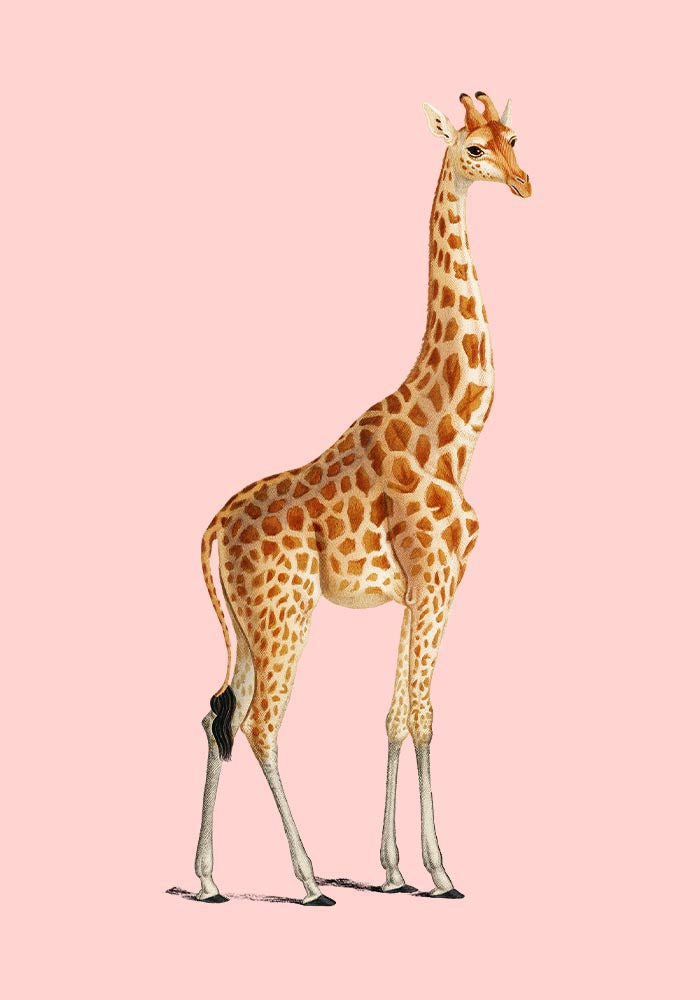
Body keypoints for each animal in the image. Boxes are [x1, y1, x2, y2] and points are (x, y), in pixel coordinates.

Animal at [193, 91, 531, 905]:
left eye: (515, 138)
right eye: (473, 149)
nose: (524, 182)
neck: (454, 434)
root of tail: (215, 523)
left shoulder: (420, 589)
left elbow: (395, 716)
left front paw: (396, 869)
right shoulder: (437, 578)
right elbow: (426, 715)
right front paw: (441, 872)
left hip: (250, 621)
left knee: (218, 712)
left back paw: (210, 879)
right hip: (285, 611)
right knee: (260, 724)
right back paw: (311, 881)